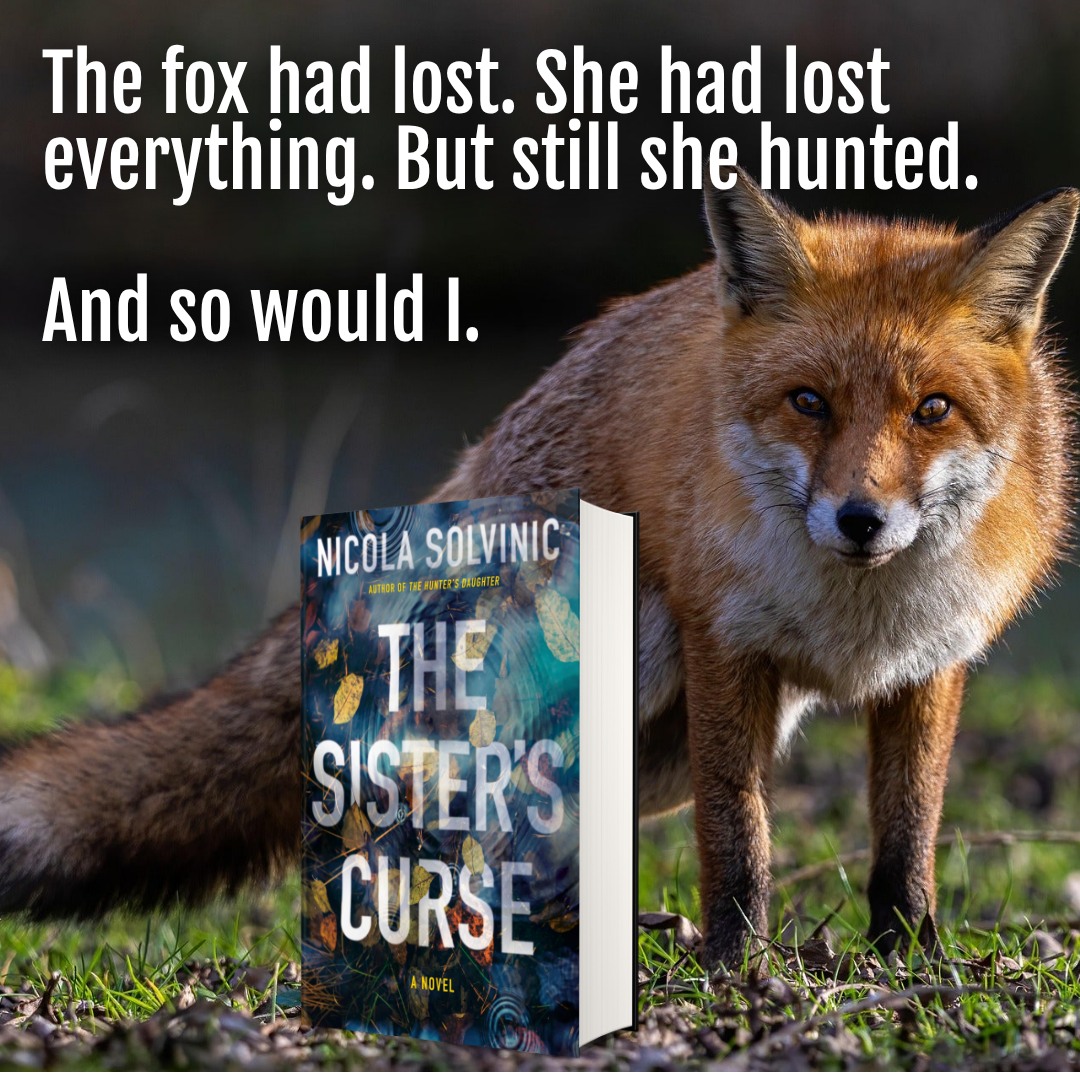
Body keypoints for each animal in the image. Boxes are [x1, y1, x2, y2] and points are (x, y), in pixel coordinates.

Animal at [0, 167, 1075, 974]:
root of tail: (488, 448)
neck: (856, 619)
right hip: (614, 647)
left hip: (653, 754)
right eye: (809, 401)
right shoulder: (722, 643)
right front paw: (740, 969)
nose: (860, 519)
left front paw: (910, 957)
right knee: (430, 797)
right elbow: (740, 841)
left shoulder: (929, 666)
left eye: (931, 410)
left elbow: (908, 834)